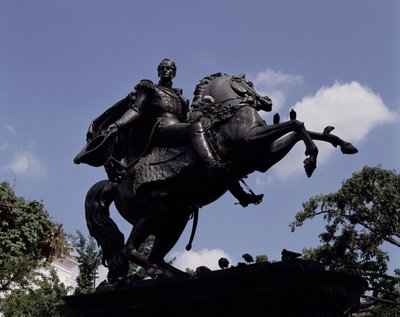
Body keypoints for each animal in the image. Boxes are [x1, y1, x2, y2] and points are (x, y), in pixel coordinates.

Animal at [80, 72, 356, 282]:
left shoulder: (263, 157)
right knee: (130, 249)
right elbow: (295, 125)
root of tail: (115, 183)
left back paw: (181, 274)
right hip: (154, 211)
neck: (227, 113)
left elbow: (302, 127)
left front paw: (341, 143)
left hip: (175, 218)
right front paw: (311, 159)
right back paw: (158, 272)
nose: (267, 101)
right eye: (248, 83)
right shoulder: (252, 143)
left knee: (153, 254)